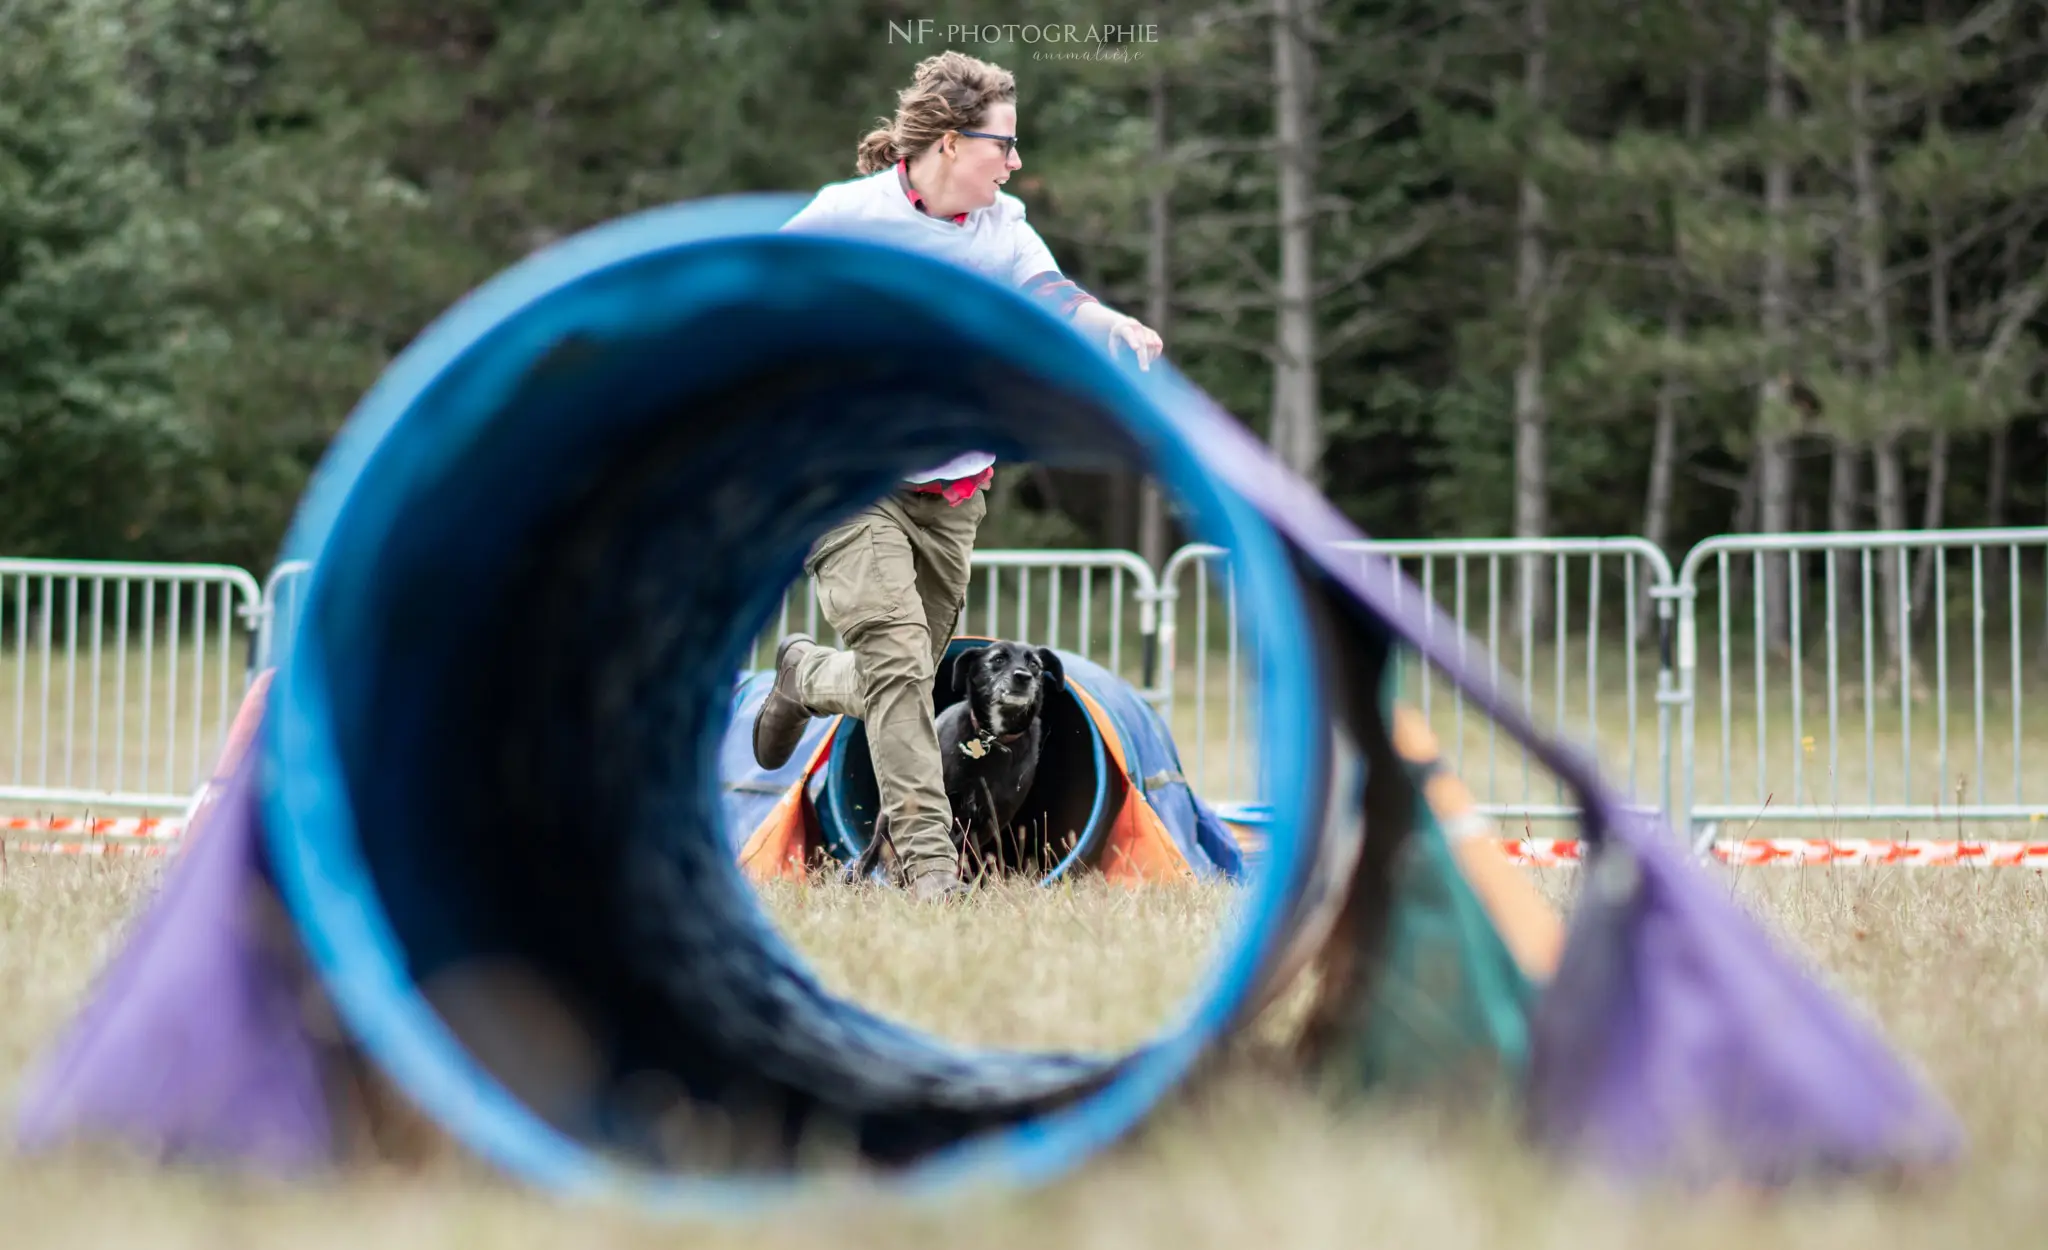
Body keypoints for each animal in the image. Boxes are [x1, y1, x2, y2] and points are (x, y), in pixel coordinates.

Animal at [851, 639, 1073, 881]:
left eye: (1034, 664)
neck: (993, 740)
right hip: (890, 814)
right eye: (998, 659)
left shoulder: (990, 820)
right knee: (874, 849)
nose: (1023, 676)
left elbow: (961, 848)